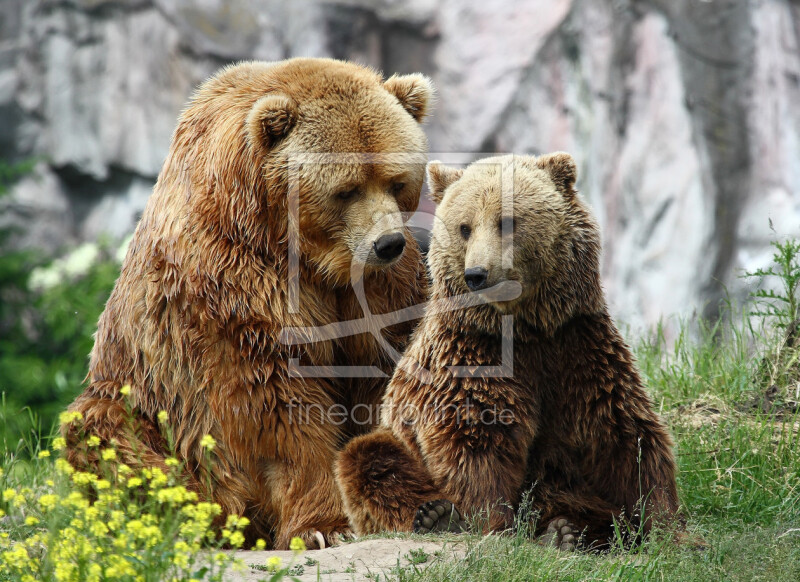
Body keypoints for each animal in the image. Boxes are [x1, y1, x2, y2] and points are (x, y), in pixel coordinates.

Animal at [64, 59, 432, 552]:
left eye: (396, 181)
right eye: (347, 189)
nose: (387, 243)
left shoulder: (376, 291)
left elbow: (383, 373)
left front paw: (402, 501)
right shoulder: (233, 283)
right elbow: (277, 406)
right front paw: (323, 527)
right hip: (146, 404)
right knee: (102, 432)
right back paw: (194, 519)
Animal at [334, 154, 680, 552]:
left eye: (508, 221)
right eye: (465, 227)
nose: (477, 274)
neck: (527, 329)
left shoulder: (578, 350)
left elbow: (625, 438)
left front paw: (668, 528)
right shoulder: (471, 359)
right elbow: (475, 441)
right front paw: (492, 524)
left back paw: (568, 531)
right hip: (392, 439)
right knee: (368, 459)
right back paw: (439, 515)